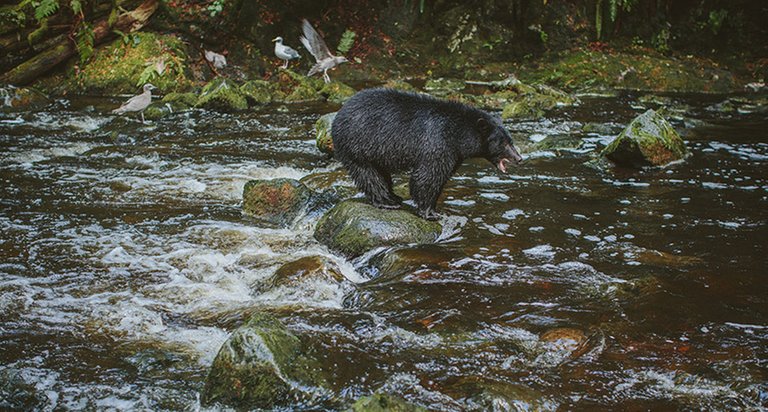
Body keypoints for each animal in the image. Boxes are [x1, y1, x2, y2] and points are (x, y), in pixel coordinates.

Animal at [330, 88, 520, 220]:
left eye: (511, 140)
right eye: (503, 143)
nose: (519, 158)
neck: (458, 134)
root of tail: (339, 114)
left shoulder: (454, 154)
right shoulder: (438, 143)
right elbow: (428, 176)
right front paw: (430, 213)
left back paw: (394, 197)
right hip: (357, 145)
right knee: (368, 174)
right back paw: (386, 202)